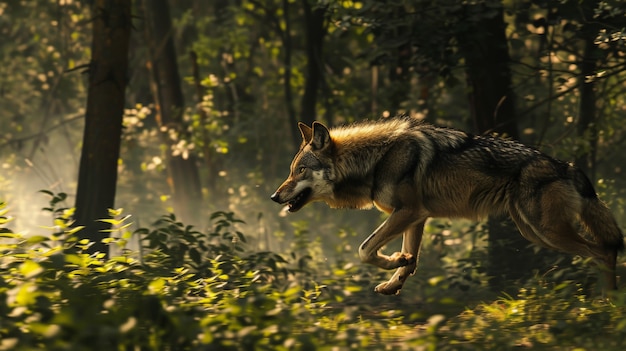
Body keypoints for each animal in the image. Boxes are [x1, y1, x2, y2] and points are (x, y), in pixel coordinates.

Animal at [270, 117, 620, 296]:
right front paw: (396, 276)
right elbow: (410, 259)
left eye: (299, 171)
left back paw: (608, 302)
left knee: (604, 251)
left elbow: (365, 249)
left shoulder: (408, 212)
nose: (274, 196)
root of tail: (566, 165)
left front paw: (393, 261)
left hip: (546, 231)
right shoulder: (417, 217)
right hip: (532, 231)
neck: (377, 160)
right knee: (602, 250)